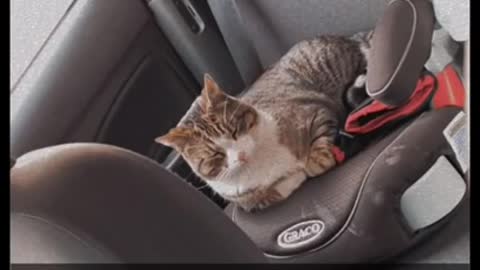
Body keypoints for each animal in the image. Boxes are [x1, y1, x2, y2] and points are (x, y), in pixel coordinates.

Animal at [157, 33, 372, 211]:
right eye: (215, 154)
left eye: (234, 130)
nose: (241, 155)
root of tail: (349, 37)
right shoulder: (248, 200)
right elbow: (274, 192)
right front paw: (294, 176)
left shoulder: (316, 113)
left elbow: (319, 143)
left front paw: (315, 161)